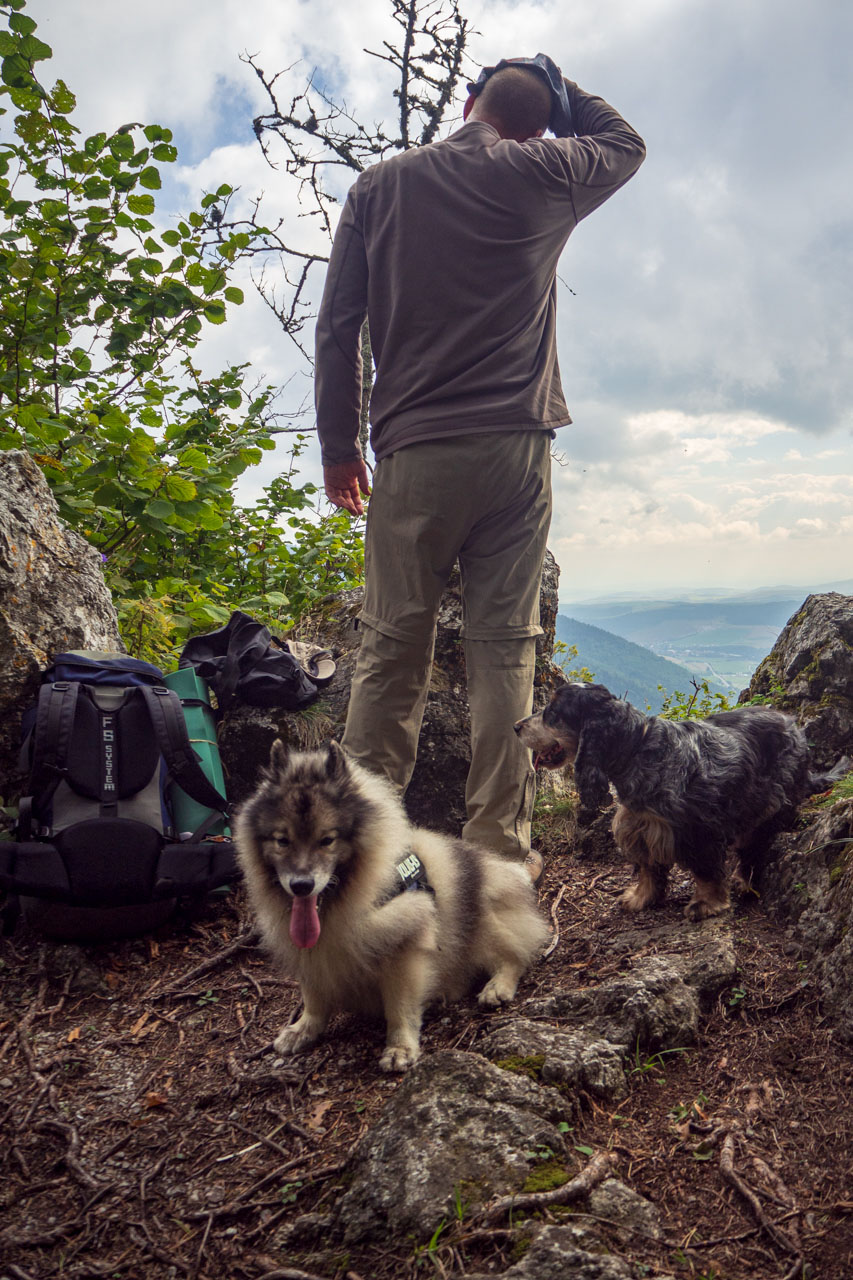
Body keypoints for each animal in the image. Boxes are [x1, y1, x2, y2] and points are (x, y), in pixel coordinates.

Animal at [233, 742, 545, 1070]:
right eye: (282, 841)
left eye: (327, 840)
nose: (301, 885)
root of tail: (505, 868)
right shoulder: (314, 954)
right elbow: (314, 997)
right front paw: (304, 1029)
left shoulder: (403, 947)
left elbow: (400, 1007)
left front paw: (400, 1048)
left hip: (481, 916)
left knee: (515, 954)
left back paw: (497, 987)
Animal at [512, 680, 845, 921]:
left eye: (552, 712)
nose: (516, 726)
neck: (638, 746)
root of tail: (796, 729)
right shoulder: (641, 826)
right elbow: (649, 868)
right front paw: (640, 898)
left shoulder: (699, 830)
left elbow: (707, 871)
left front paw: (707, 904)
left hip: (768, 802)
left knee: (753, 848)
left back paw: (743, 880)